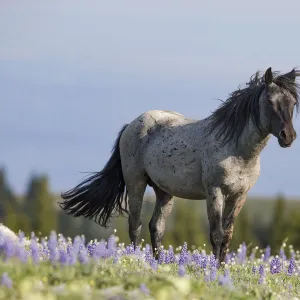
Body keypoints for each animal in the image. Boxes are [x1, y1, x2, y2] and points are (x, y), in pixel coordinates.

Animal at [59, 67, 298, 262]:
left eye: (293, 102)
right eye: (269, 101)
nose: (288, 136)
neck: (238, 151)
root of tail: (132, 125)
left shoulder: (239, 196)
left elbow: (228, 235)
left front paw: (223, 270)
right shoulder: (215, 192)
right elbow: (216, 234)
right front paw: (214, 271)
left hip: (164, 192)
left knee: (156, 227)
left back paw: (158, 264)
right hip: (136, 183)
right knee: (135, 225)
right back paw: (137, 261)